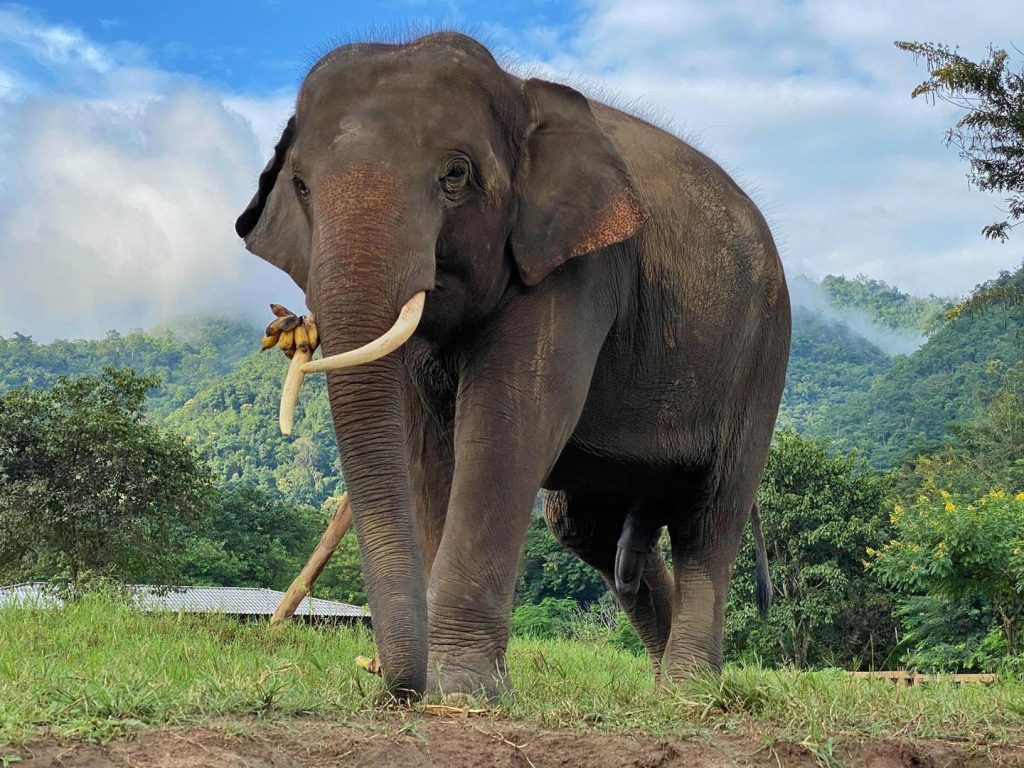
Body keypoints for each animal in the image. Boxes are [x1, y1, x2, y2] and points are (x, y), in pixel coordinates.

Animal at [234, 31, 790, 704]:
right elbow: (426, 446)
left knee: (710, 514)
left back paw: (689, 693)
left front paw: (462, 691)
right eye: (302, 186)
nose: (390, 681)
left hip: (762, 357)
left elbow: (509, 423)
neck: (518, 92)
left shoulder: (579, 266)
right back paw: (660, 689)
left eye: (456, 175)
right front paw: (444, 685)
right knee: (589, 527)